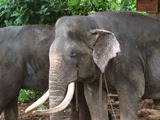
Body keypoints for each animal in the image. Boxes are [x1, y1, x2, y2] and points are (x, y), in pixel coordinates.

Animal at [26, 11, 160, 119]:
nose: (35, 112)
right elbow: (93, 99)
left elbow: (133, 94)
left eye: (72, 53)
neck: (96, 24)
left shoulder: (128, 62)